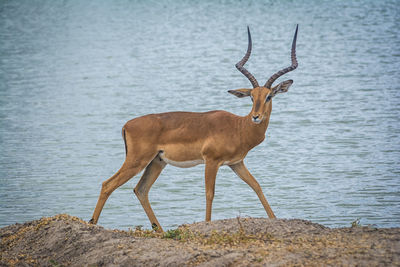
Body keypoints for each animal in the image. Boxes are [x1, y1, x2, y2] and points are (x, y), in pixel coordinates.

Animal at [90, 25, 296, 232]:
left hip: (156, 162)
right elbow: (209, 193)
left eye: (269, 96)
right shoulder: (211, 161)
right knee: (108, 184)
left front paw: (274, 219)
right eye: (252, 97)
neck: (239, 127)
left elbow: (256, 185)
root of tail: (126, 125)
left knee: (140, 190)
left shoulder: (236, 163)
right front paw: (207, 224)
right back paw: (92, 223)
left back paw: (160, 230)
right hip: (137, 160)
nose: (256, 116)